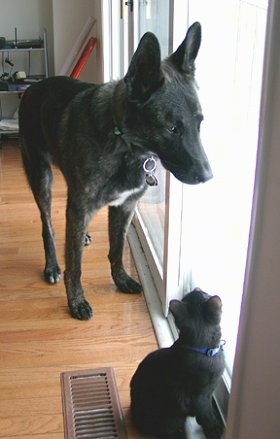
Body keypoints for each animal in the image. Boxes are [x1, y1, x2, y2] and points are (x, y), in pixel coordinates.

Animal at [19, 21, 212, 320]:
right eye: (172, 128)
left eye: (200, 123)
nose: (207, 176)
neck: (124, 142)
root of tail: (32, 88)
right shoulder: (84, 205)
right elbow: (75, 266)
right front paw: (76, 301)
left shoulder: (124, 207)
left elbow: (117, 249)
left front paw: (120, 279)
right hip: (41, 178)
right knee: (47, 223)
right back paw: (52, 264)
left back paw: (83, 236)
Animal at [130, 288, 225, 439]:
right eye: (205, 293)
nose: (197, 288)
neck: (201, 349)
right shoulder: (200, 396)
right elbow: (207, 413)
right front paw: (214, 429)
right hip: (172, 419)